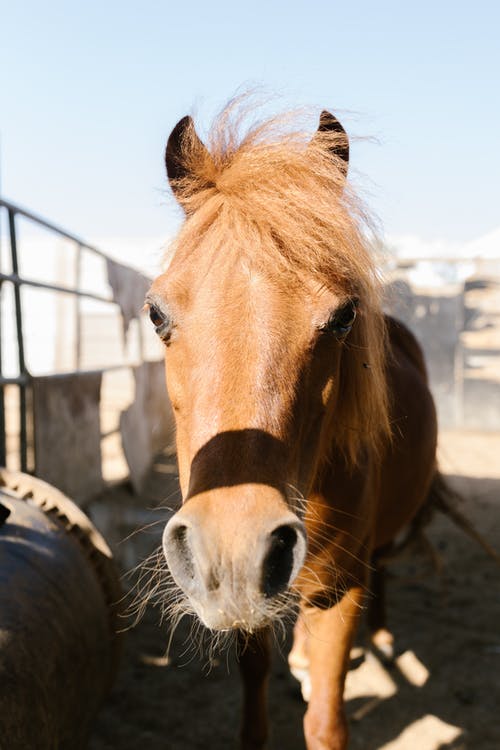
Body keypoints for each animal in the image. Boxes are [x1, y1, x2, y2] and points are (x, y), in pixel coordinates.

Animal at [147, 101, 438, 750]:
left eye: (343, 316)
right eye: (155, 313)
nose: (232, 546)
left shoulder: (339, 591)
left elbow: (326, 722)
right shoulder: (254, 600)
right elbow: (255, 674)